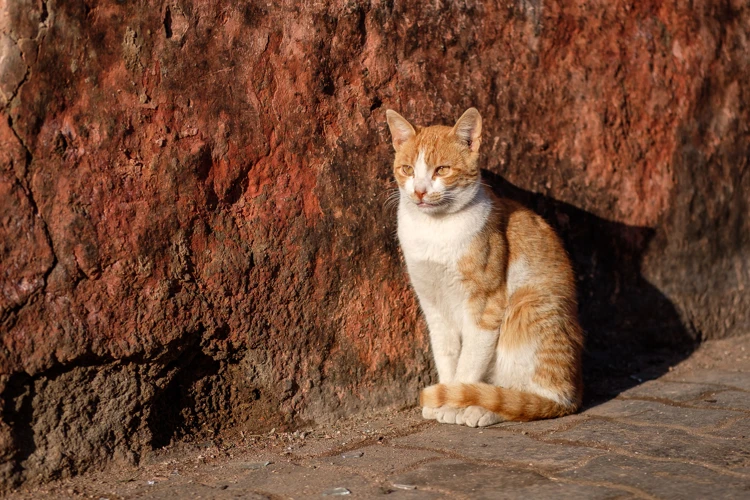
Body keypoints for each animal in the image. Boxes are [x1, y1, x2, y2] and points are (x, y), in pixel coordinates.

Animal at [384, 106, 584, 426]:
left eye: (442, 170)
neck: (436, 230)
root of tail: (576, 392)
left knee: (539, 399)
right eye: (408, 170)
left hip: (526, 307)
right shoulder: (433, 306)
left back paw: (483, 407)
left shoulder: (486, 306)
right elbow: (447, 355)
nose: (420, 192)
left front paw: (452, 402)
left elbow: (468, 362)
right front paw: (445, 396)